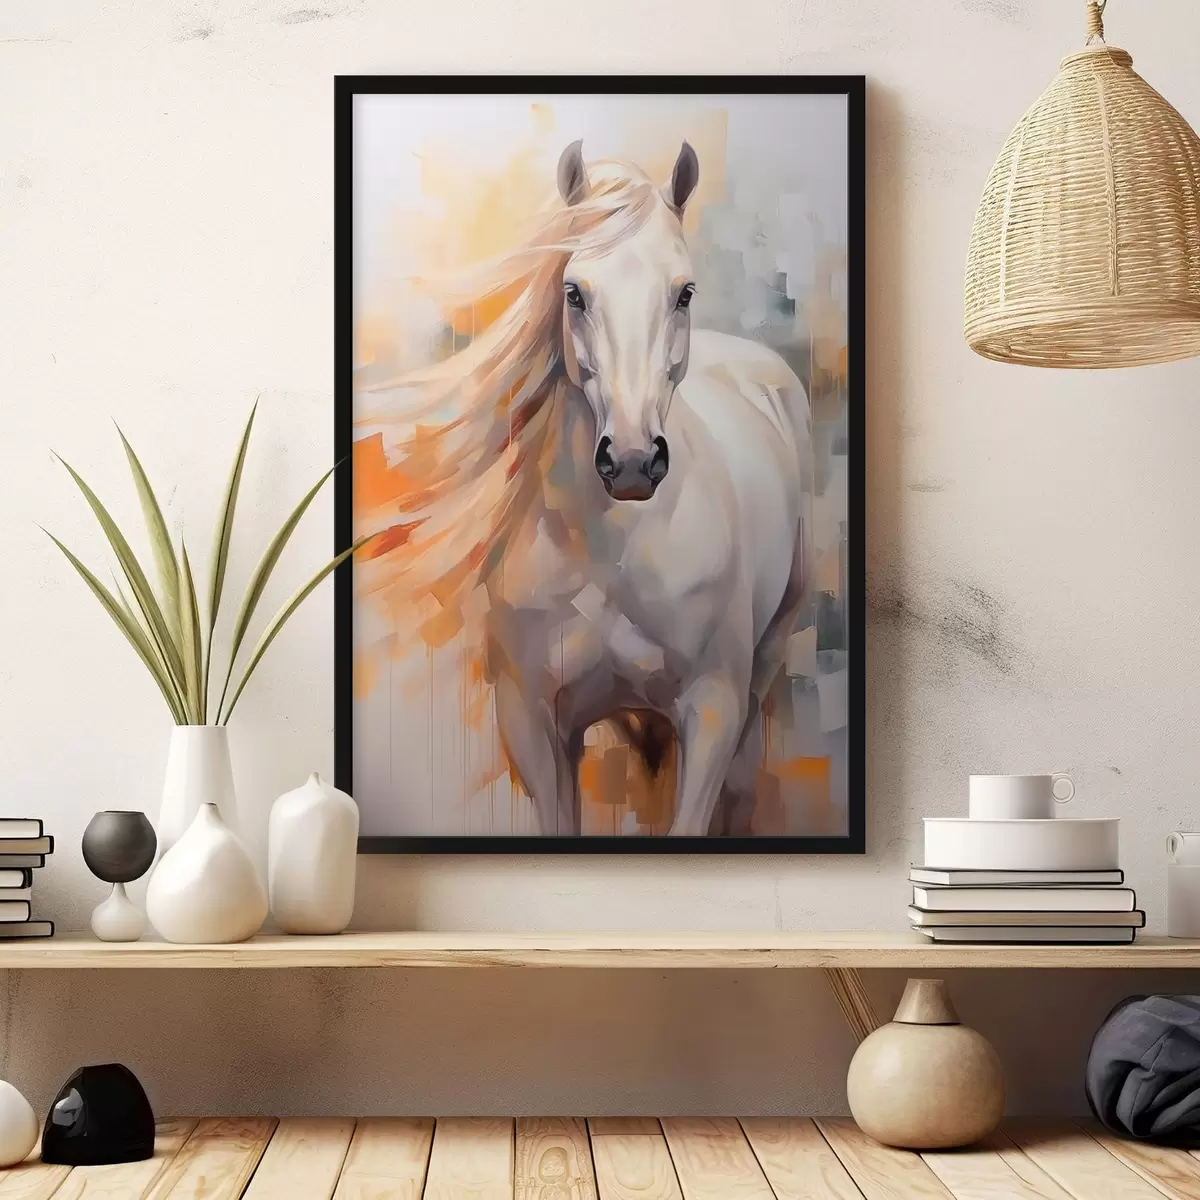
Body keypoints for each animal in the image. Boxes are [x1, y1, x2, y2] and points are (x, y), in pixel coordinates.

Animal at [360, 139, 812, 836]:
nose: (631, 461)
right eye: (573, 292)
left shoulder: (712, 711)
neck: (610, 550)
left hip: (768, 659)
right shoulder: (532, 723)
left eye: (684, 292)